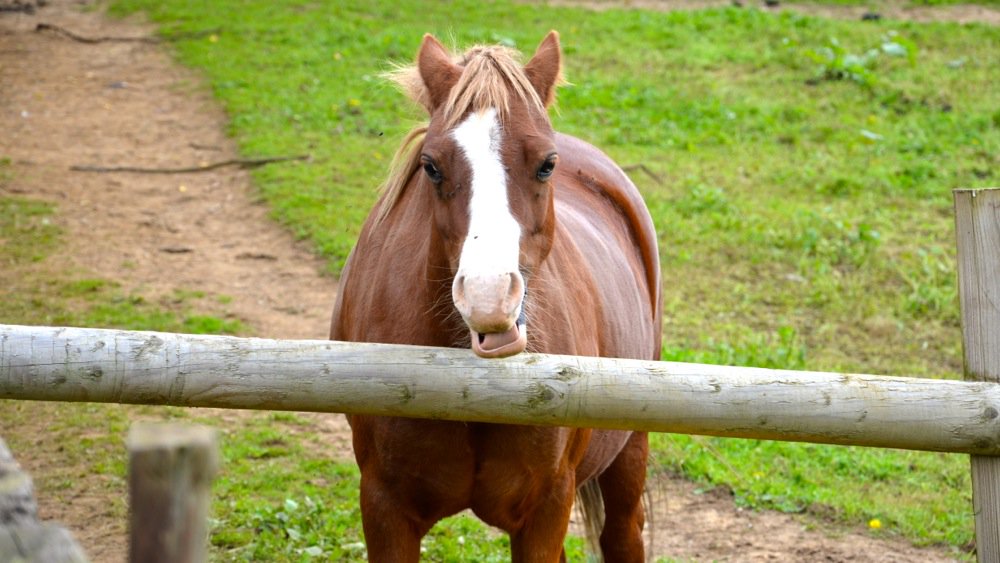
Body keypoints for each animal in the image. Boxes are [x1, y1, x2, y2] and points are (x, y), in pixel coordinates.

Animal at [330, 31, 662, 562]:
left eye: (547, 164)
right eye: (431, 166)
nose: (488, 299)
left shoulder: (546, 509)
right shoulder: (384, 508)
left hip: (628, 458)